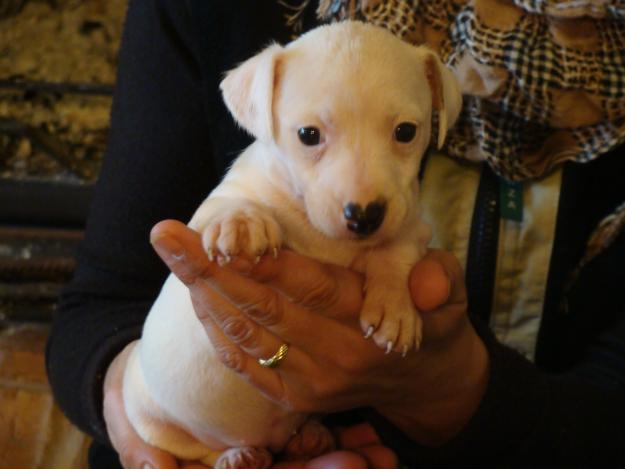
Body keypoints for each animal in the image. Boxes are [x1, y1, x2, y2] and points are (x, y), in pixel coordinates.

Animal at [124, 20, 460, 466]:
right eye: (308, 135)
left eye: (406, 131)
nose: (364, 216)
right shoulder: (213, 206)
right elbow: (229, 204)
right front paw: (242, 222)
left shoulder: (410, 222)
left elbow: (397, 250)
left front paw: (394, 307)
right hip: (154, 418)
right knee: (197, 450)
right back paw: (236, 455)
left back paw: (309, 437)